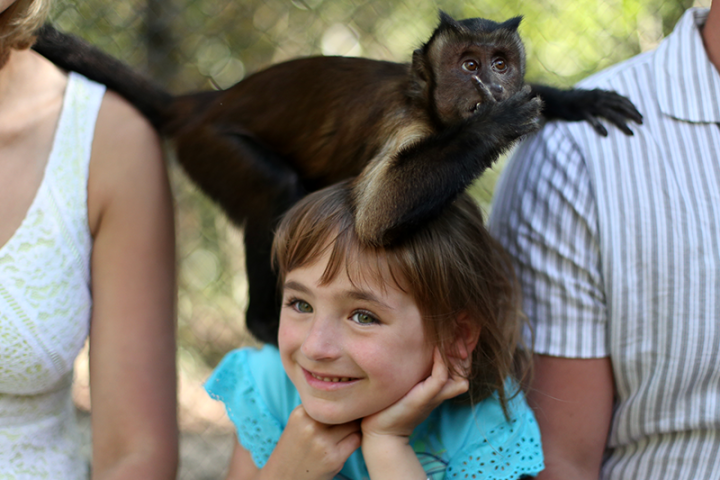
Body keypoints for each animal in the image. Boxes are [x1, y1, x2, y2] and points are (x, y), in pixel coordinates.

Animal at [32, 12, 642, 345]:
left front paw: (573, 100)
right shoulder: (403, 122)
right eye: (469, 65)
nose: (492, 88)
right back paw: (262, 322)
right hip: (209, 147)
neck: (424, 98)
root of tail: (198, 105)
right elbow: (376, 213)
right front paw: (497, 123)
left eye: (500, 63)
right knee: (277, 189)